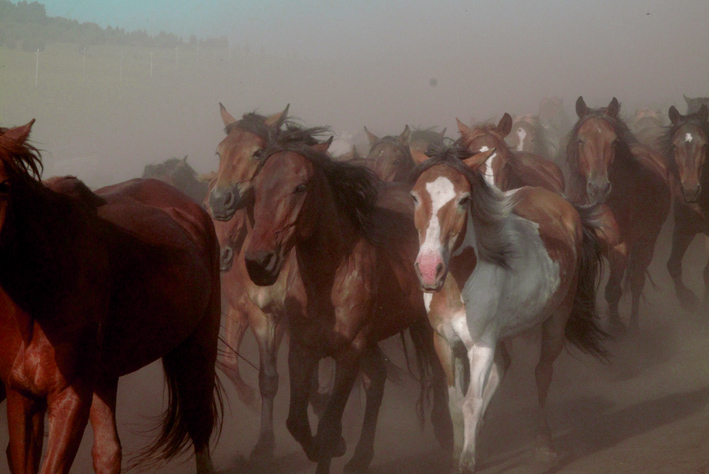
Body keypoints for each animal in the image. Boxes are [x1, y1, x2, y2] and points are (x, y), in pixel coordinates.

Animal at [0, 121, 221, 474]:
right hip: (105, 375)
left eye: (4, 185)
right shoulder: (20, 397)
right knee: (107, 451)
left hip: (198, 346)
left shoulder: (70, 396)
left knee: (199, 425)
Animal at [243, 128, 454, 474]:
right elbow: (296, 421)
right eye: (256, 188)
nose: (259, 262)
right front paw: (336, 446)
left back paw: (444, 433)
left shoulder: (349, 352)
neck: (328, 280)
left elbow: (329, 424)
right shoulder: (302, 349)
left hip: (420, 324)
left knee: (435, 371)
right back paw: (360, 457)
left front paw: (334, 443)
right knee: (377, 379)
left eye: (300, 187)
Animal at [406, 143, 604, 474]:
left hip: (556, 319)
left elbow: (470, 402)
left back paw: (544, 447)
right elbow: (455, 404)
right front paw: (459, 452)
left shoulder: (481, 344)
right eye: (415, 197)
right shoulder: (445, 343)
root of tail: (563, 205)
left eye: (463, 200)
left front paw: (468, 461)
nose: (430, 270)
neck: (459, 286)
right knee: (503, 366)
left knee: (542, 374)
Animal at [564, 95, 668, 334]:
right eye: (581, 140)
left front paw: (615, 326)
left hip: (646, 244)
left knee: (637, 282)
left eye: (613, 141)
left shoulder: (620, 248)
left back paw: (634, 325)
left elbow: (613, 290)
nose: (599, 188)